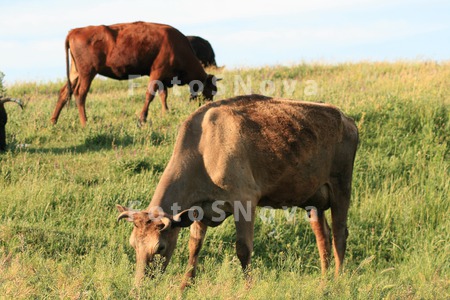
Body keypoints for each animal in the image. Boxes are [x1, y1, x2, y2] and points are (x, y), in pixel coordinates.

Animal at [51, 21, 220, 126]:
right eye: (211, 90)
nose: (209, 105)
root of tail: (74, 31)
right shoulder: (158, 71)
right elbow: (150, 95)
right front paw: (142, 118)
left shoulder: (163, 77)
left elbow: (163, 95)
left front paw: (166, 112)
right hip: (87, 72)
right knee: (80, 94)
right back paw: (85, 122)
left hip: (75, 72)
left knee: (64, 92)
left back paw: (53, 121)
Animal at [116, 95, 358, 288]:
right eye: (133, 245)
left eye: (160, 247)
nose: (139, 287)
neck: (203, 149)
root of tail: (346, 119)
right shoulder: (200, 209)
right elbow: (194, 247)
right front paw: (183, 288)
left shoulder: (245, 200)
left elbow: (243, 249)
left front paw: (248, 289)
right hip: (313, 199)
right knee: (323, 235)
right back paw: (324, 281)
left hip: (341, 186)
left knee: (339, 233)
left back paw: (338, 280)